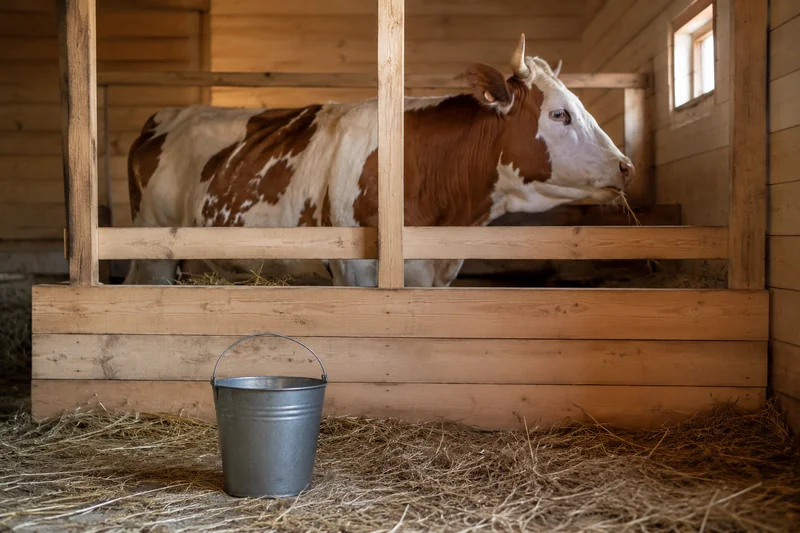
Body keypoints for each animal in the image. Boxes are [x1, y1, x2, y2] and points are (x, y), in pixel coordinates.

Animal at [124, 34, 634, 287]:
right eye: (559, 113)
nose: (626, 166)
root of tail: (164, 116)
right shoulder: (355, 273)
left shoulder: (434, 276)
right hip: (153, 245)